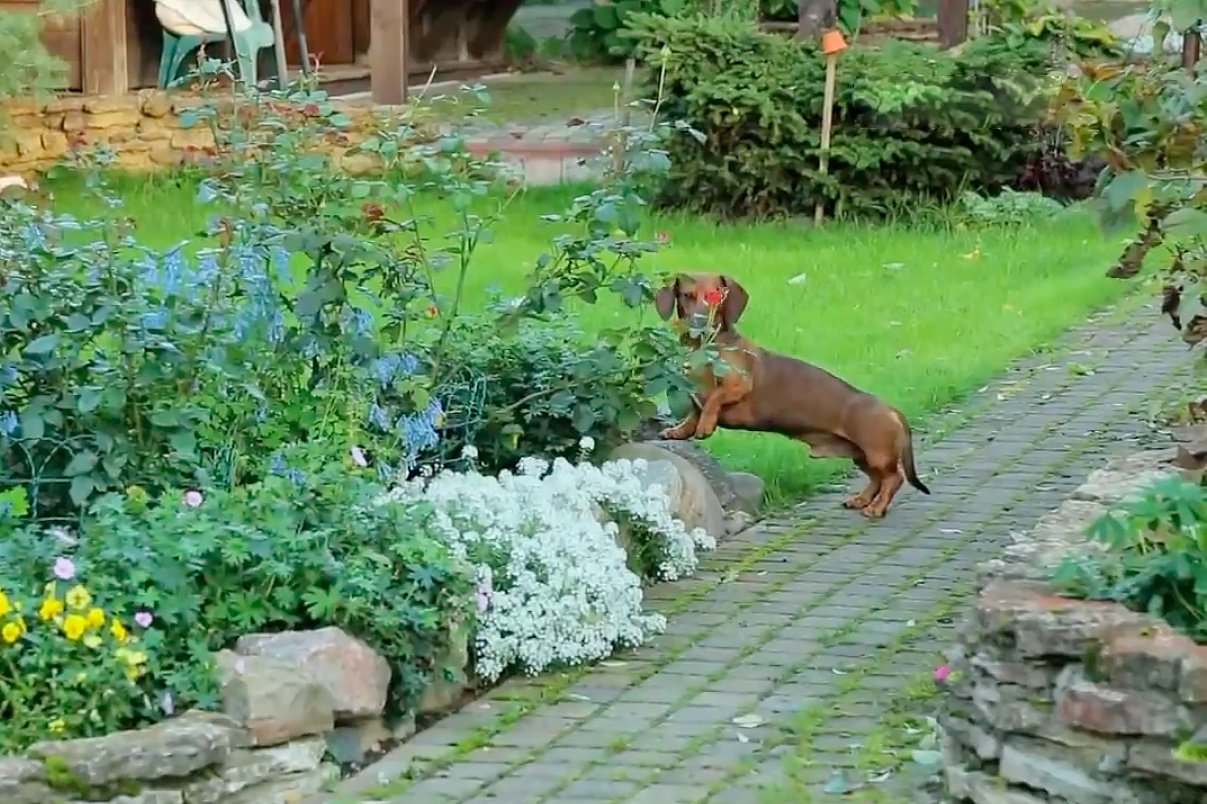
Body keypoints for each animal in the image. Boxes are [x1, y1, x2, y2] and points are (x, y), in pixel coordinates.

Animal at [656, 272, 926, 516]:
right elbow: (694, 410)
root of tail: (892, 410)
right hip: (860, 455)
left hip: (877, 454)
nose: (699, 322)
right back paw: (861, 499)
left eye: (715, 295)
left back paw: (876, 507)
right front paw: (679, 430)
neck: (707, 348)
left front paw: (705, 425)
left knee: (893, 478)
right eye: (687, 295)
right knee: (877, 479)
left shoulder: (737, 385)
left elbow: (714, 399)